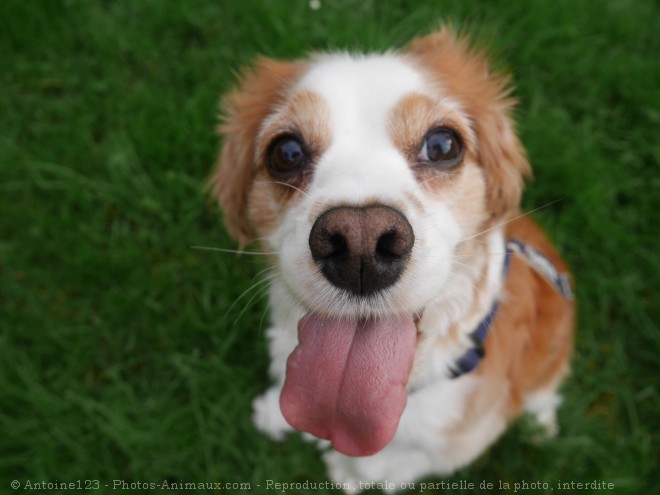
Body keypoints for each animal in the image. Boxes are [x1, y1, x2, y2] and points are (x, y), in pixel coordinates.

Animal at [210, 29, 572, 494]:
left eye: (443, 145)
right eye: (286, 152)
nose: (359, 245)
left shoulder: (459, 438)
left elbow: (388, 463)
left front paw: (350, 473)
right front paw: (275, 412)